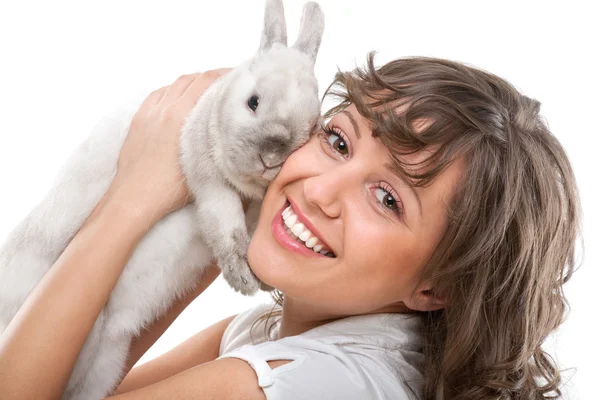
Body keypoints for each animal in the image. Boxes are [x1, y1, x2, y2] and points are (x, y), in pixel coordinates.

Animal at [0, 0, 324, 396]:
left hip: (107, 358)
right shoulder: (206, 175)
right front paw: (243, 278)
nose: (272, 159)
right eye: (253, 102)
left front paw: (264, 277)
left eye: (312, 127)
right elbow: (224, 222)